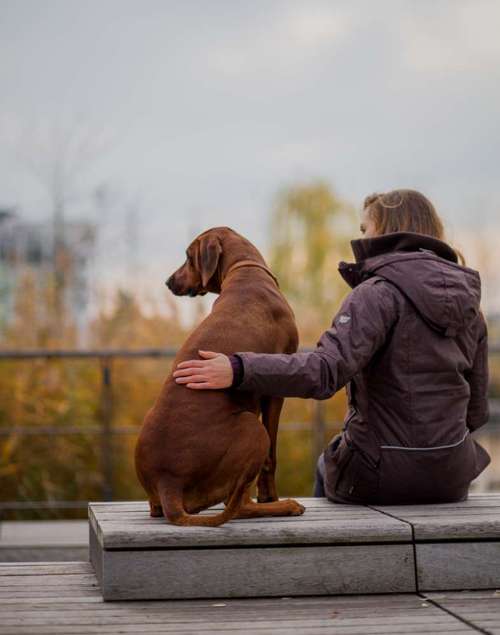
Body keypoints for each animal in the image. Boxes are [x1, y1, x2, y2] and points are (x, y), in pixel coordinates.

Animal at [134, 229, 304, 528]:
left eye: (187, 256)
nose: (168, 282)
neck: (245, 271)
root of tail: (168, 483)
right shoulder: (275, 392)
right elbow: (271, 459)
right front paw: (269, 497)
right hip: (252, 428)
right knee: (238, 505)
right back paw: (286, 505)